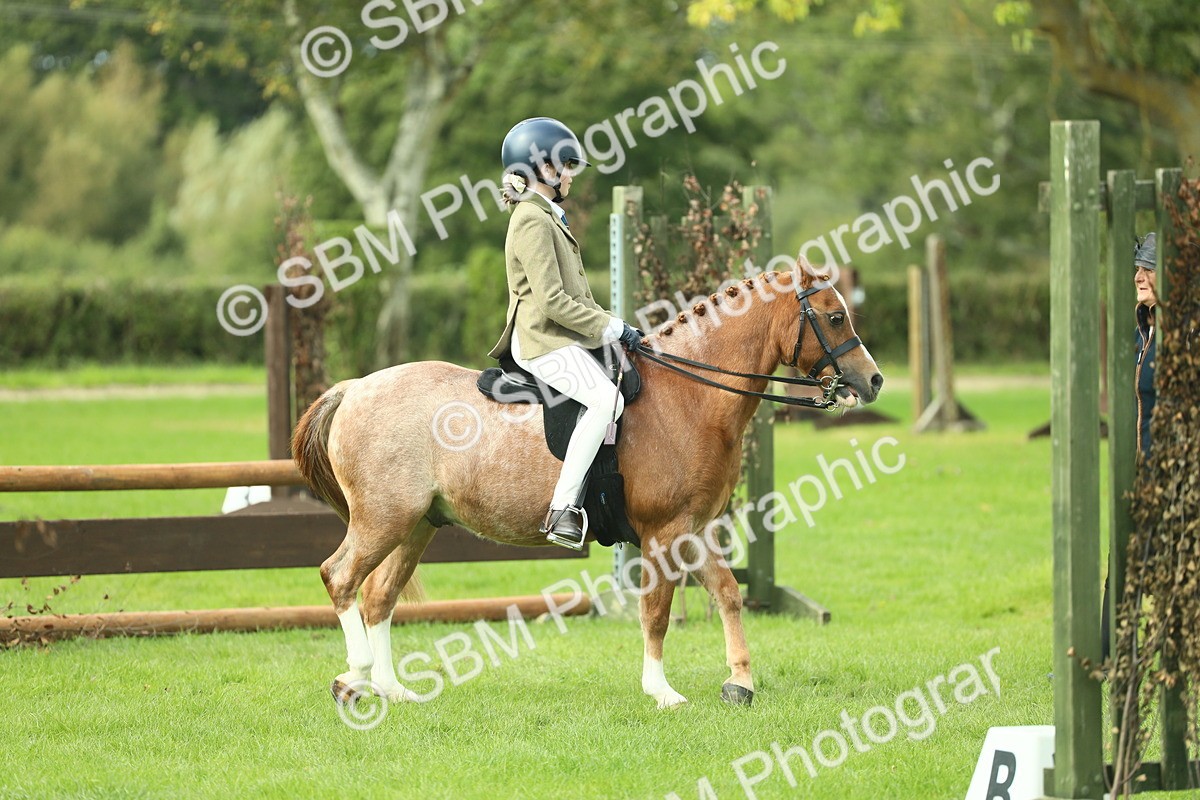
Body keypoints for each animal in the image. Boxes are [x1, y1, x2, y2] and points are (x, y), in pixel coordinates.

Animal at [292, 261, 883, 710]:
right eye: (834, 316)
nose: (873, 380)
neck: (691, 395)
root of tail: (354, 387)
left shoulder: (696, 528)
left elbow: (728, 594)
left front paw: (740, 683)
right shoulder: (664, 533)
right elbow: (657, 612)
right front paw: (662, 691)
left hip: (417, 525)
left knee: (379, 596)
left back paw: (390, 689)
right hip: (383, 519)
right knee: (341, 577)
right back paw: (354, 677)